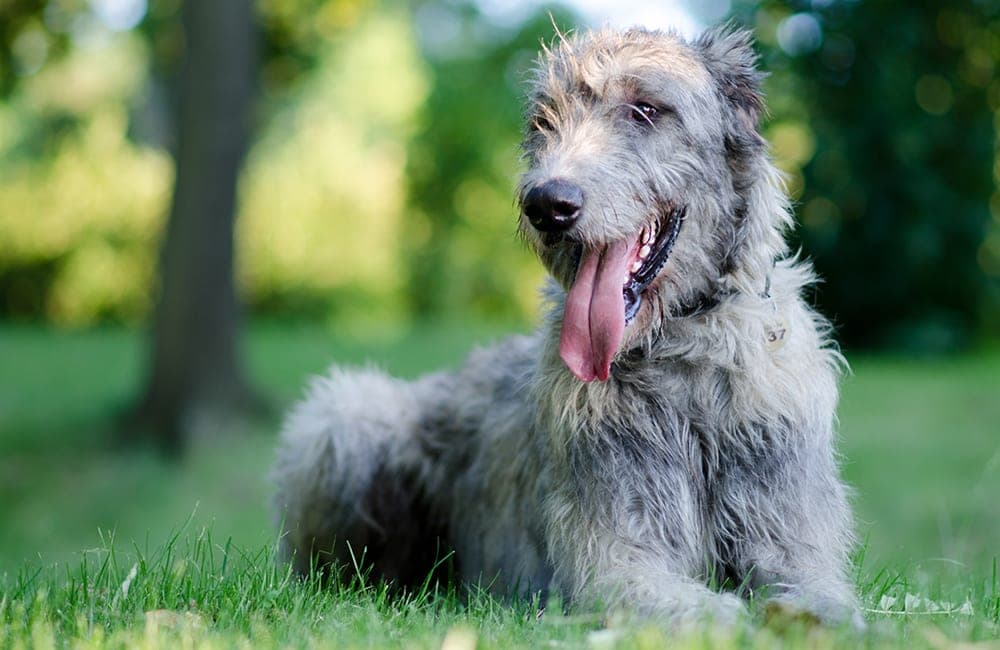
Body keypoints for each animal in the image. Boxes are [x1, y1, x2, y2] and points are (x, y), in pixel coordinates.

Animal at [270, 26, 864, 628]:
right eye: (542, 121)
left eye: (646, 109)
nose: (547, 205)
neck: (681, 351)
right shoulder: (613, 555)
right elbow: (683, 603)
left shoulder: (786, 521)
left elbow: (824, 593)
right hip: (347, 415)